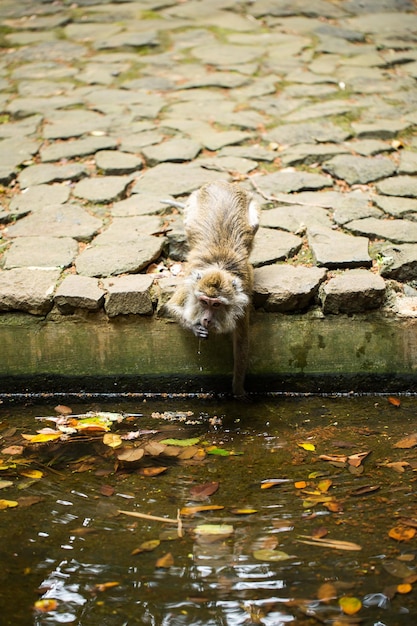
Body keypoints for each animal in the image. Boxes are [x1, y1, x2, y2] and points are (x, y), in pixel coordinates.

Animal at [165, 180, 256, 394]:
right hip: (191, 207)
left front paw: (238, 391)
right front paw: (194, 326)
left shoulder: (243, 299)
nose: (206, 318)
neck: (219, 267)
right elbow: (172, 306)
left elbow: (242, 343)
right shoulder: (190, 282)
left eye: (216, 304)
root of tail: (222, 182)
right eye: (204, 301)